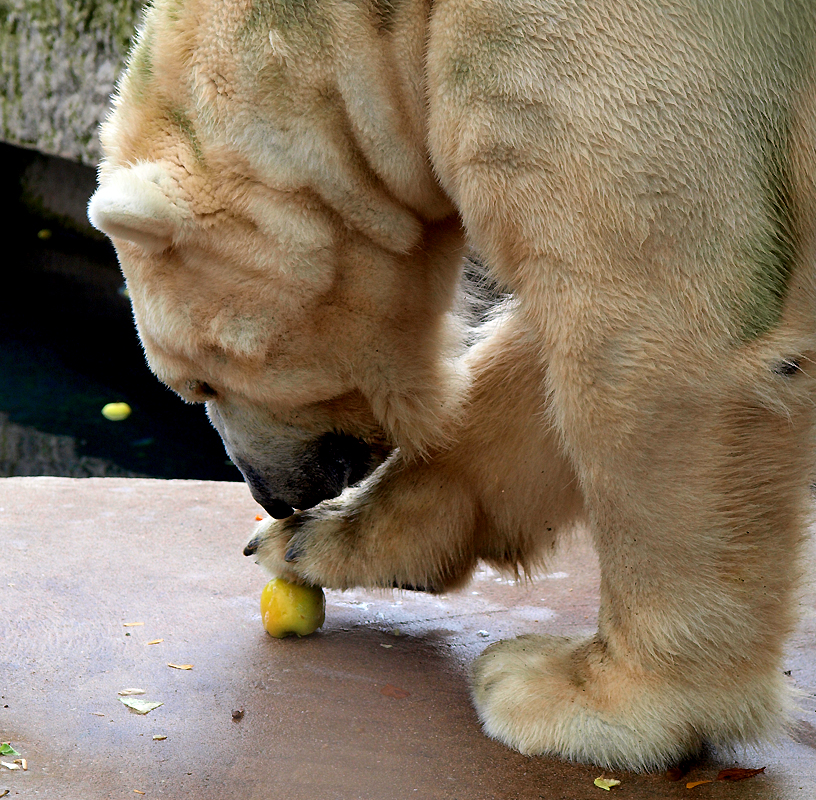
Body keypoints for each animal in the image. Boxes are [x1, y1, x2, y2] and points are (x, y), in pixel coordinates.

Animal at [87, 0, 816, 772]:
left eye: (198, 381)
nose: (269, 495)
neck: (381, 28)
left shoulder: (612, 59)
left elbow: (653, 340)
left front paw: (579, 695)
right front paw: (322, 540)